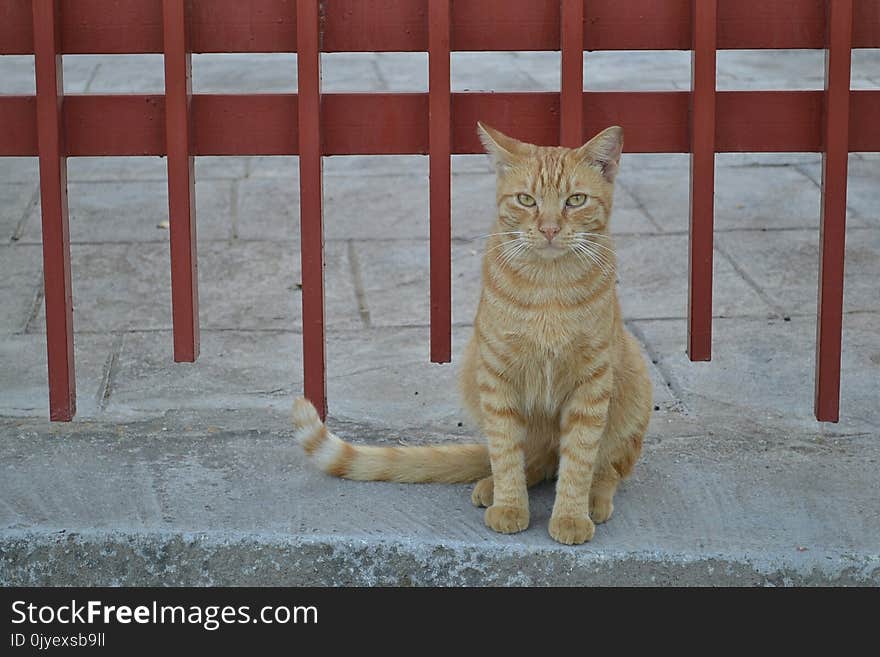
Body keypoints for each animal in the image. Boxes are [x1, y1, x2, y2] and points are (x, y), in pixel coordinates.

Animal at [294, 123, 652, 544]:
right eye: (526, 200)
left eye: (575, 200)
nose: (549, 229)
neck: (549, 287)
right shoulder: (496, 376)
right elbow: (505, 451)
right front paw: (510, 506)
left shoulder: (592, 382)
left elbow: (580, 457)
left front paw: (570, 515)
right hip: (472, 369)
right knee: (531, 460)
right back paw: (493, 487)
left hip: (632, 384)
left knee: (606, 466)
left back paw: (594, 497)